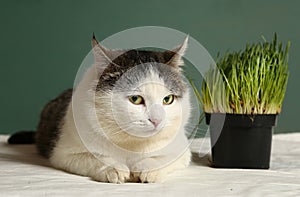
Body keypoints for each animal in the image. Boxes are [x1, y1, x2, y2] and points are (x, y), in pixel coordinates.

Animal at [9, 34, 192, 184]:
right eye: (136, 99)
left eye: (167, 99)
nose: (157, 120)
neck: (130, 142)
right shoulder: (64, 154)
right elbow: (96, 158)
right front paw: (113, 168)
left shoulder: (182, 151)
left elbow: (162, 158)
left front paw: (148, 168)